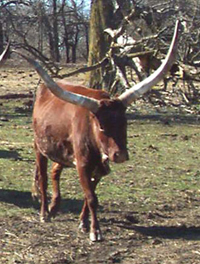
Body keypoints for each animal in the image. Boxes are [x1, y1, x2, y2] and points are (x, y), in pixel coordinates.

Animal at [0, 20, 180, 241]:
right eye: (102, 126)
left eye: (125, 122)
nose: (120, 155)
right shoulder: (83, 164)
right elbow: (91, 197)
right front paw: (95, 231)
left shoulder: (100, 168)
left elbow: (89, 195)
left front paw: (84, 223)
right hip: (39, 148)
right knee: (43, 178)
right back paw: (44, 213)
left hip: (63, 151)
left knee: (55, 171)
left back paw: (54, 206)